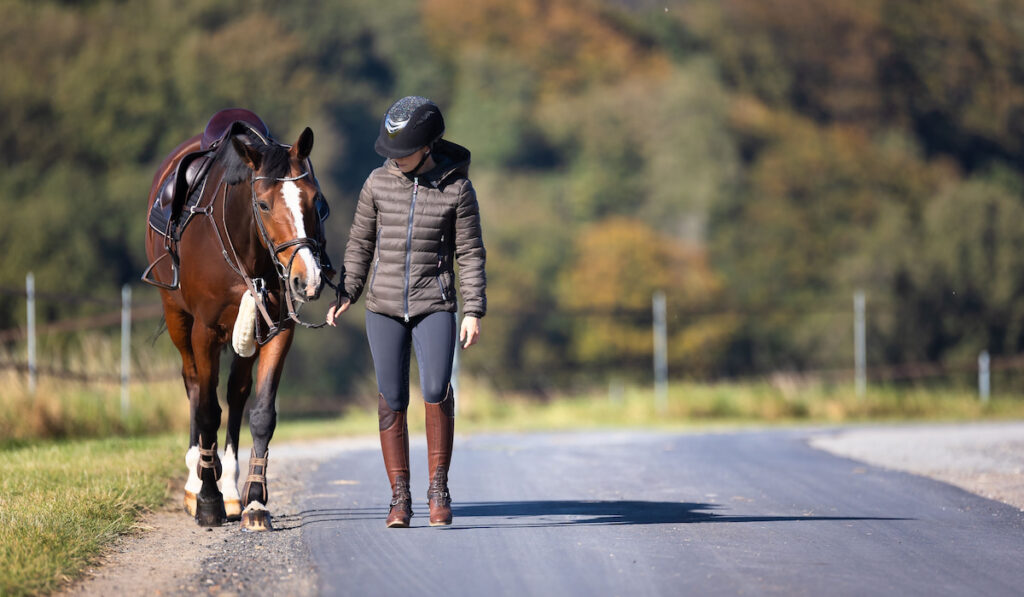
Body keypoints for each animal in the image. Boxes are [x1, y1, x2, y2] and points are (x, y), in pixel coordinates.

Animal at [140, 114, 329, 528]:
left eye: (315, 200)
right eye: (263, 203)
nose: (307, 279)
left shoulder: (279, 330)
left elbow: (261, 414)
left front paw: (254, 501)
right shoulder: (204, 332)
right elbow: (208, 410)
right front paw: (207, 501)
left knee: (237, 394)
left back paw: (229, 489)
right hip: (177, 318)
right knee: (195, 386)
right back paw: (197, 484)